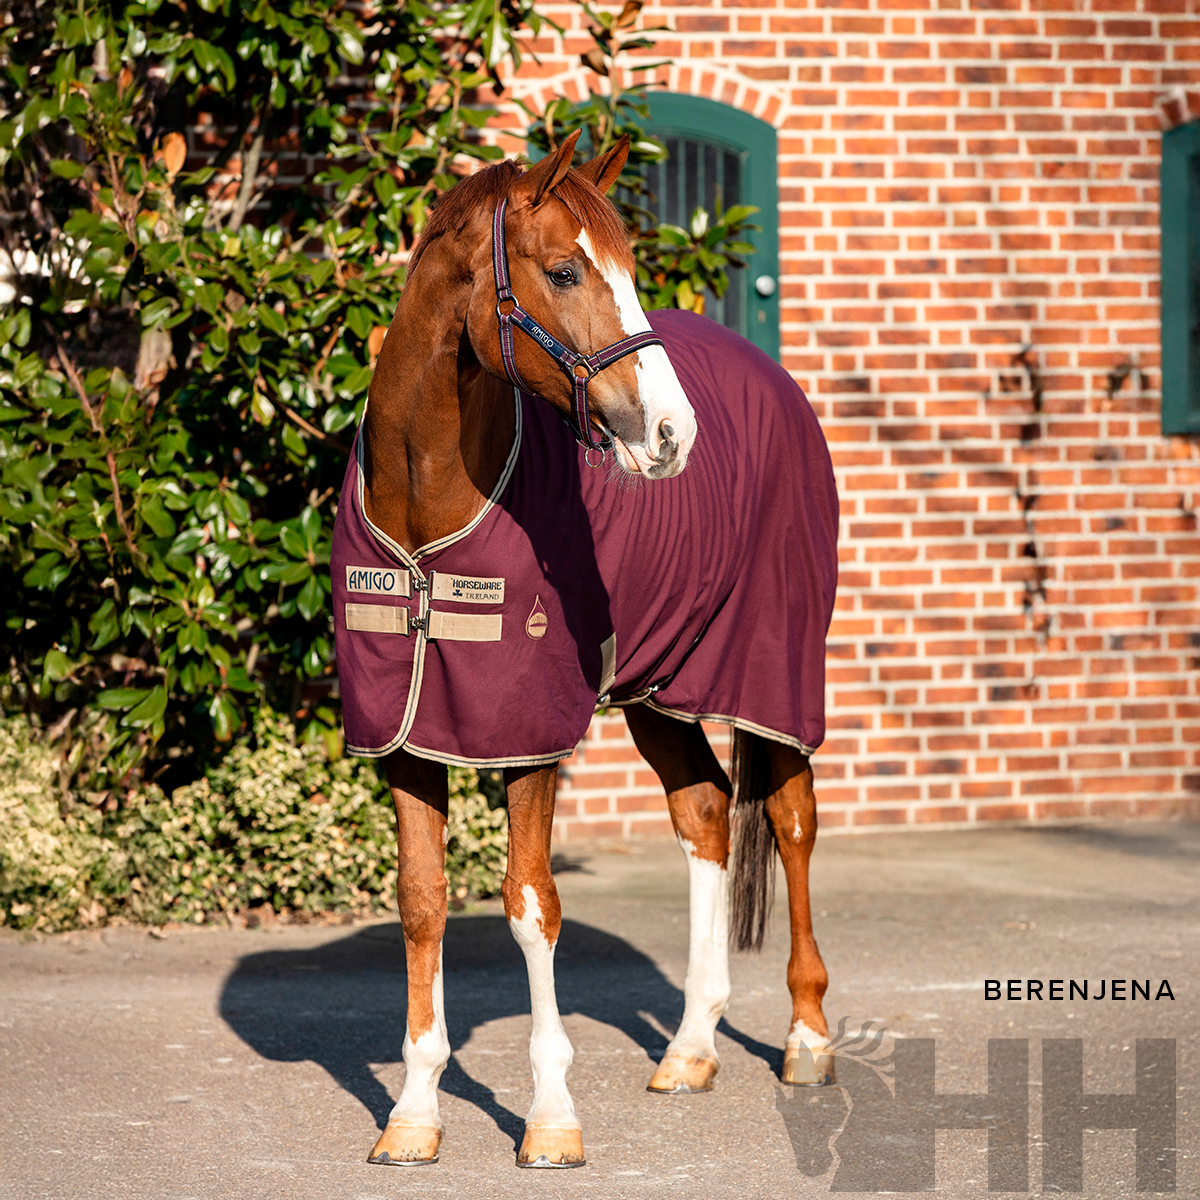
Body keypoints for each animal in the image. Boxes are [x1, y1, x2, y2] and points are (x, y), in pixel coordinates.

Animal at [330, 128, 839, 1168]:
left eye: (632, 269)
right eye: (564, 269)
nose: (672, 433)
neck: (426, 503)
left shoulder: (529, 739)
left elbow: (532, 906)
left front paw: (552, 1116)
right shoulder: (405, 738)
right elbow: (422, 901)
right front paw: (414, 1113)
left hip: (774, 672)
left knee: (793, 819)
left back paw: (806, 1039)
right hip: (660, 689)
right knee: (706, 816)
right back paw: (689, 1049)